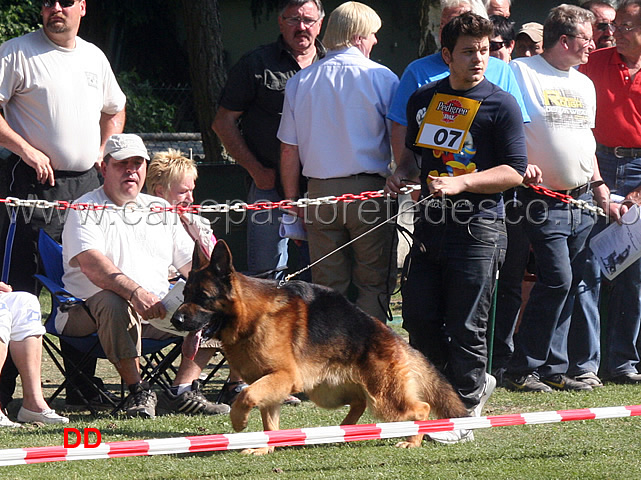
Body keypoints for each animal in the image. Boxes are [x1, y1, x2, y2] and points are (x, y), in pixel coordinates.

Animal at [172, 242, 468, 456]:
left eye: (203, 297)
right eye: (185, 295)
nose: (176, 320)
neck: (252, 316)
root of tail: (393, 337)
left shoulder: (283, 378)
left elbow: (245, 396)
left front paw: (239, 422)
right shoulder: (271, 384)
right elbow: (268, 421)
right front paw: (266, 447)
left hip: (384, 398)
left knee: (421, 408)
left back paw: (412, 439)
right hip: (326, 392)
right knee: (359, 402)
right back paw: (344, 430)